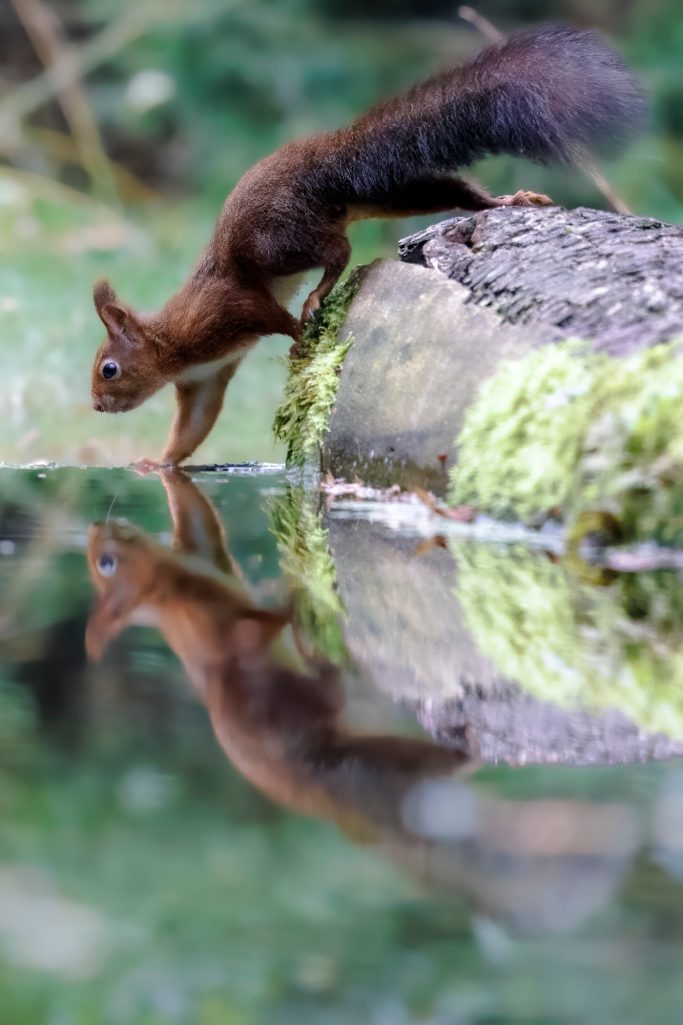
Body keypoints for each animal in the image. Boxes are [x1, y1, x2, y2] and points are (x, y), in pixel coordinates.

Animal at [91, 24, 644, 465]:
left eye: (108, 369)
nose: (96, 405)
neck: (172, 345)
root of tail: (324, 159)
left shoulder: (225, 308)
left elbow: (269, 315)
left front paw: (300, 340)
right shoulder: (205, 379)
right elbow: (195, 427)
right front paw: (158, 463)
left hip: (280, 238)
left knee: (337, 252)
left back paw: (318, 295)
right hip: (392, 188)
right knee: (451, 192)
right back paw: (506, 201)